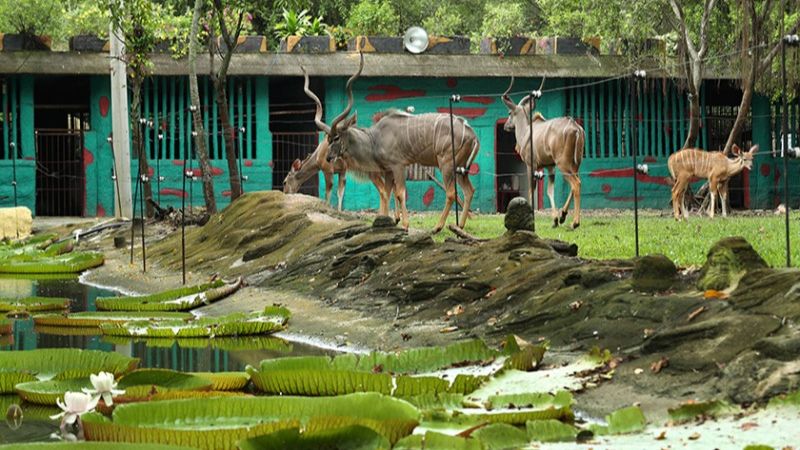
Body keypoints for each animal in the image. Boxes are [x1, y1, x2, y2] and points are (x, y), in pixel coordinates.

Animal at [318, 53, 482, 232]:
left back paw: (437, 227)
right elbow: (387, 192)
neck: (374, 139)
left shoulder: (398, 166)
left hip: (446, 164)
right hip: (460, 168)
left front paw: (404, 224)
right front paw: (386, 221)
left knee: (452, 193)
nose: (328, 158)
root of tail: (471, 133)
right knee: (469, 190)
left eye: (336, 137)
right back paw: (460, 225)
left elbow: (399, 193)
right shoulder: (388, 170)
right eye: (328, 139)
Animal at [504, 76, 584, 229]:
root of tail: (576, 128)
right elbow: (549, 190)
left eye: (510, 113)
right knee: (576, 183)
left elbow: (531, 190)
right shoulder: (550, 166)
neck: (526, 130)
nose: (506, 126)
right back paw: (563, 215)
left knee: (576, 184)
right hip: (574, 165)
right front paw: (555, 220)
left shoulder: (531, 165)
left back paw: (575, 223)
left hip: (563, 164)